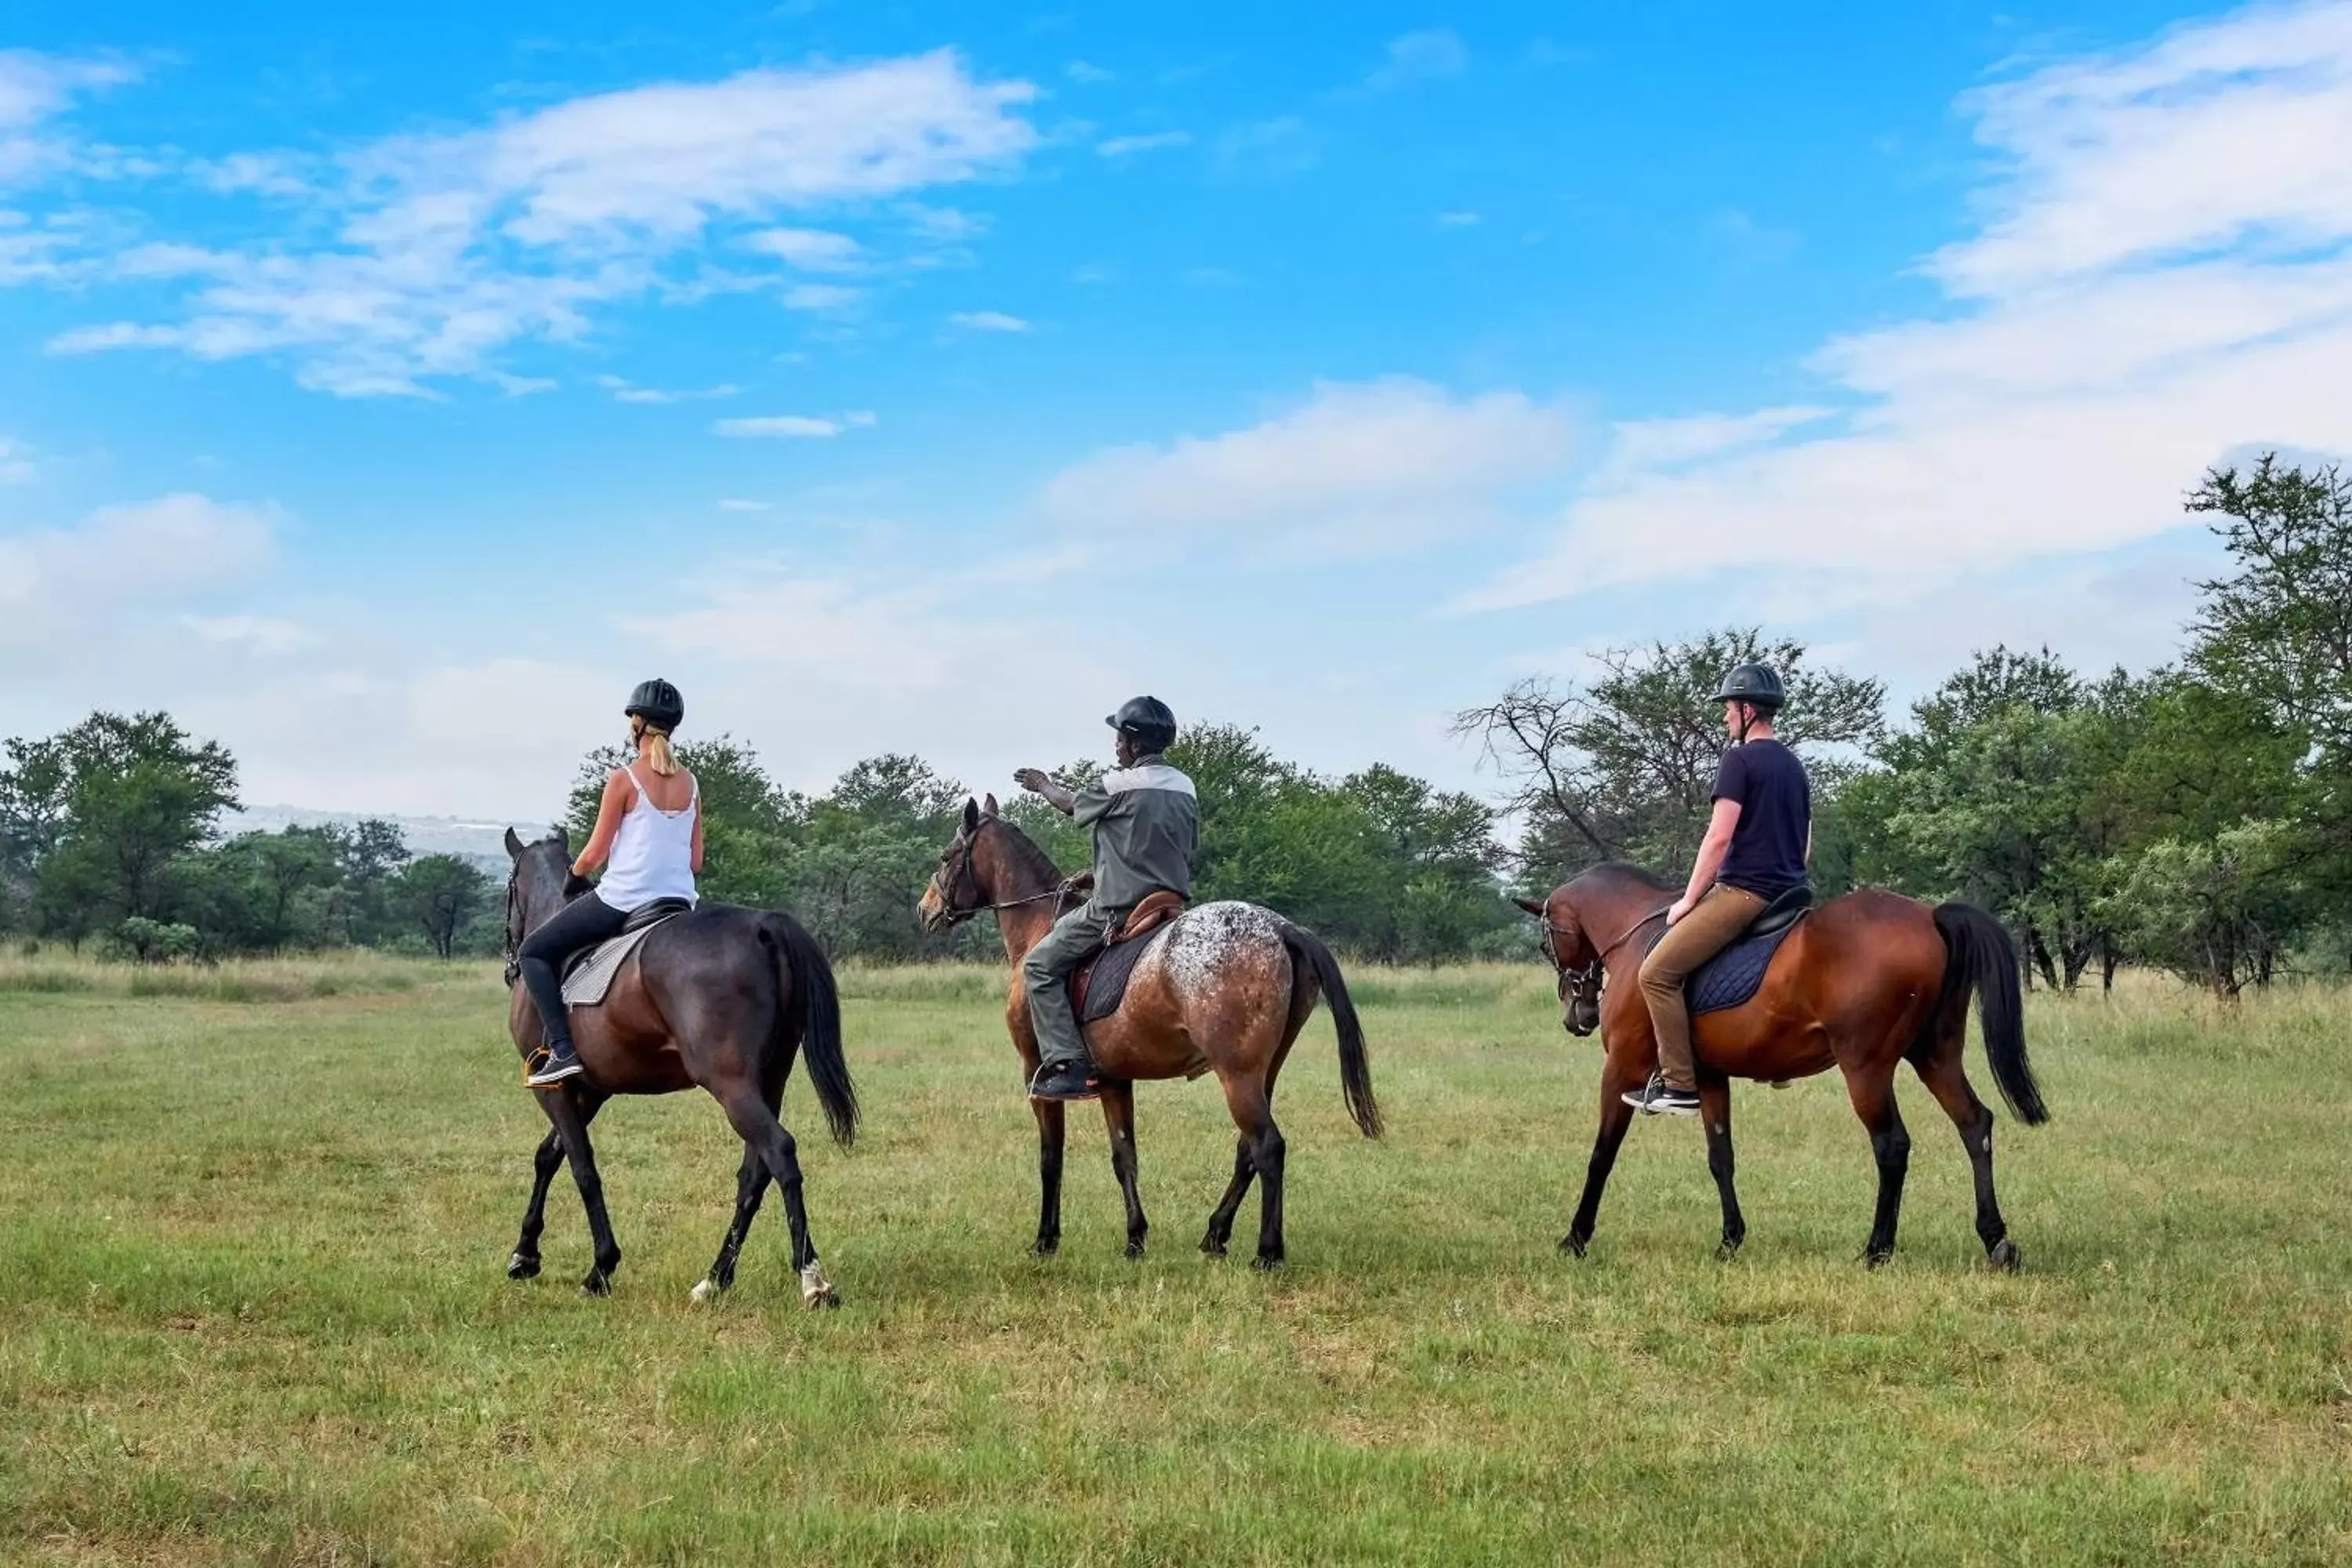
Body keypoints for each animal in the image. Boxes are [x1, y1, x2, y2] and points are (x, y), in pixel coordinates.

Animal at [506, 832, 866, 1316]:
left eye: (508, 888)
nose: (511, 966)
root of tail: (763, 926)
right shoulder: (590, 1091)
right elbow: (549, 1156)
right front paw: (525, 1255)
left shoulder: (556, 1089)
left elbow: (582, 1167)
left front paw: (600, 1268)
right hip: (768, 1081)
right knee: (755, 1172)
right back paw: (715, 1279)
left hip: (731, 1084)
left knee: (779, 1151)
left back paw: (812, 1280)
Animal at [913, 804, 1374, 1269]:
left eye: (946, 856)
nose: (925, 909)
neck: (1039, 926)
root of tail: (1281, 929)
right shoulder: (1114, 1079)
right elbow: (1124, 1157)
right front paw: (1135, 1239)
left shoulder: (1036, 1075)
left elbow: (1051, 1159)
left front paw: (1046, 1240)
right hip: (1263, 1074)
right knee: (1247, 1151)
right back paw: (1215, 1234)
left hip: (1237, 1075)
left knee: (1267, 1147)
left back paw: (1267, 1252)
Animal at [1524, 865, 2042, 1269]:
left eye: (1548, 944)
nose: (1578, 1016)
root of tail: (1929, 916)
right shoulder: (1710, 1077)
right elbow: (1721, 1158)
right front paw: (1730, 1240)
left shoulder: (1622, 1070)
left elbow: (1601, 1156)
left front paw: (1575, 1238)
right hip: (1934, 1056)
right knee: (1975, 1125)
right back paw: (1996, 1240)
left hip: (1866, 1067)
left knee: (1892, 1145)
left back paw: (1877, 1249)